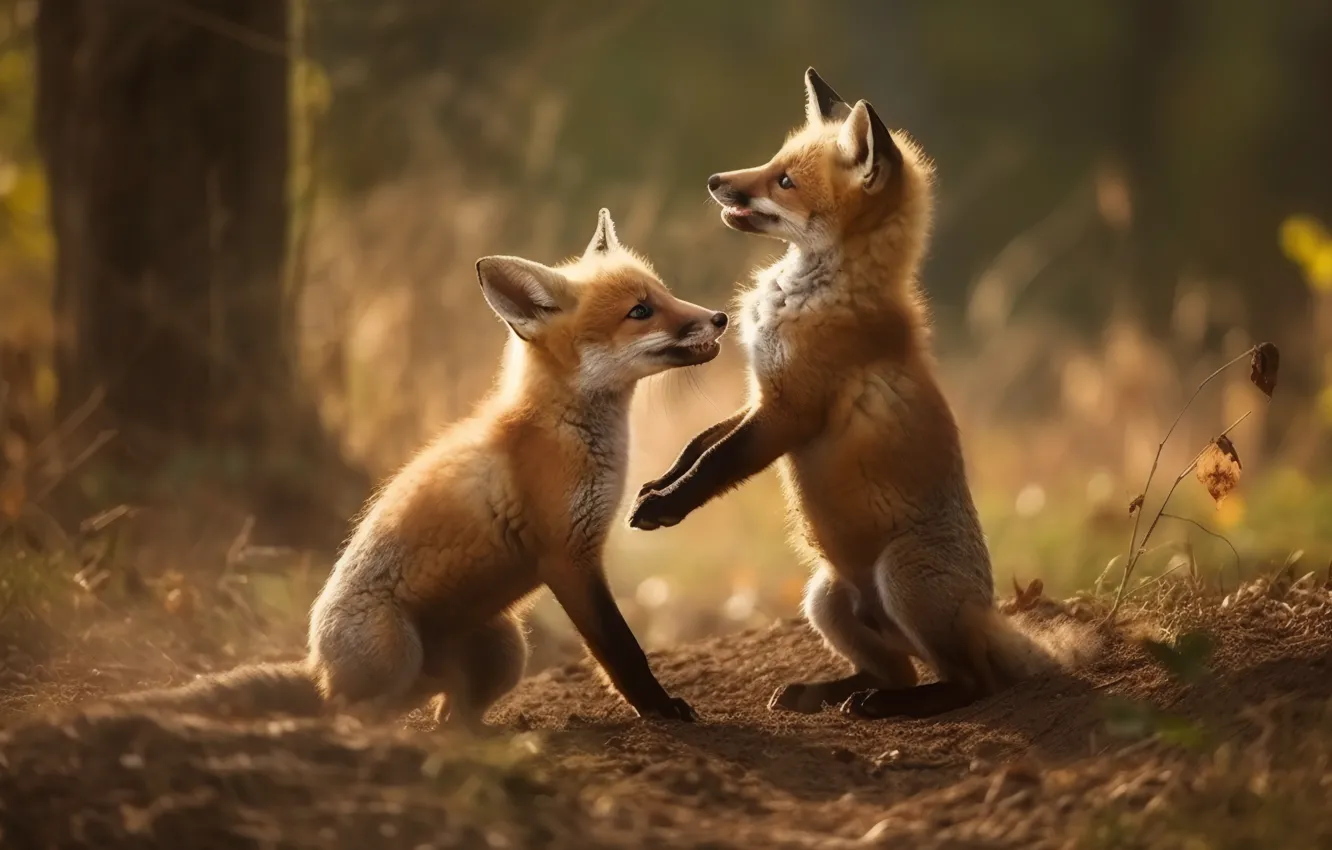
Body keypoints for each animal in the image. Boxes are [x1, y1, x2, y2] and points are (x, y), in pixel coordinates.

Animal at [113, 209, 727, 728]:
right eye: (640, 311)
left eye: (665, 293)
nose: (720, 317)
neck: (570, 431)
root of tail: (318, 668)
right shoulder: (568, 557)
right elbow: (622, 650)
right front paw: (659, 708)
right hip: (397, 651)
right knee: (351, 713)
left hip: (506, 646)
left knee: (445, 714)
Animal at [627, 69, 1096, 719]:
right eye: (773, 162)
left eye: (784, 180)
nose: (716, 181)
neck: (818, 290)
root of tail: (986, 616)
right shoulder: (764, 391)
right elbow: (698, 442)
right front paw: (656, 482)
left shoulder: (791, 410)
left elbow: (717, 462)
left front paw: (664, 507)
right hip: (825, 599)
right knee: (895, 670)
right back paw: (828, 692)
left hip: (902, 582)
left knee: (970, 685)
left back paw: (892, 704)